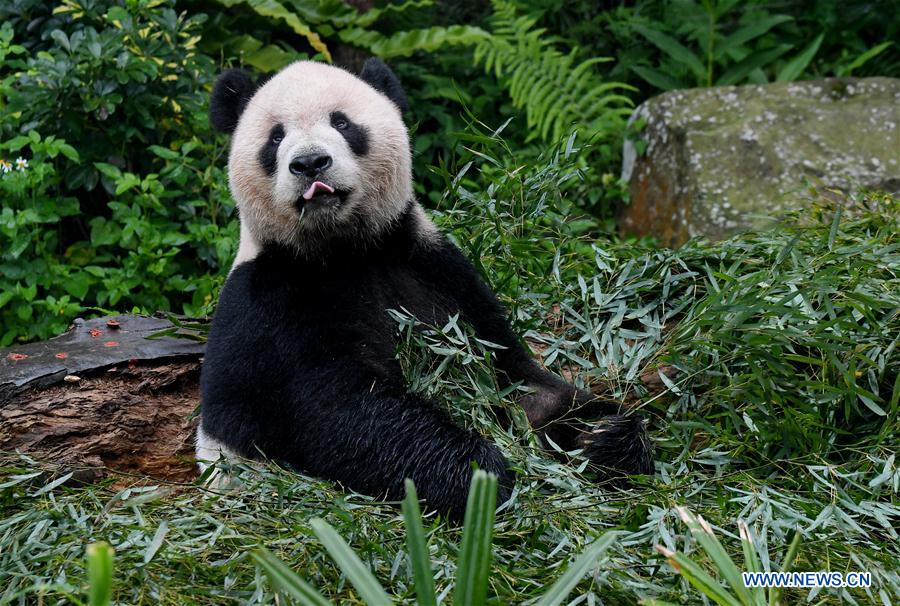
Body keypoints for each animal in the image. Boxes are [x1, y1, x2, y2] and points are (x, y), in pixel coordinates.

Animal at [197, 59, 652, 519]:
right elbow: (339, 411)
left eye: (342, 123)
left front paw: (606, 438)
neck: (341, 249)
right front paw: (483, 477)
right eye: (276, 137)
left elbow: (516, 381)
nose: (310, 163)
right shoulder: (273, 306)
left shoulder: (431, 266)